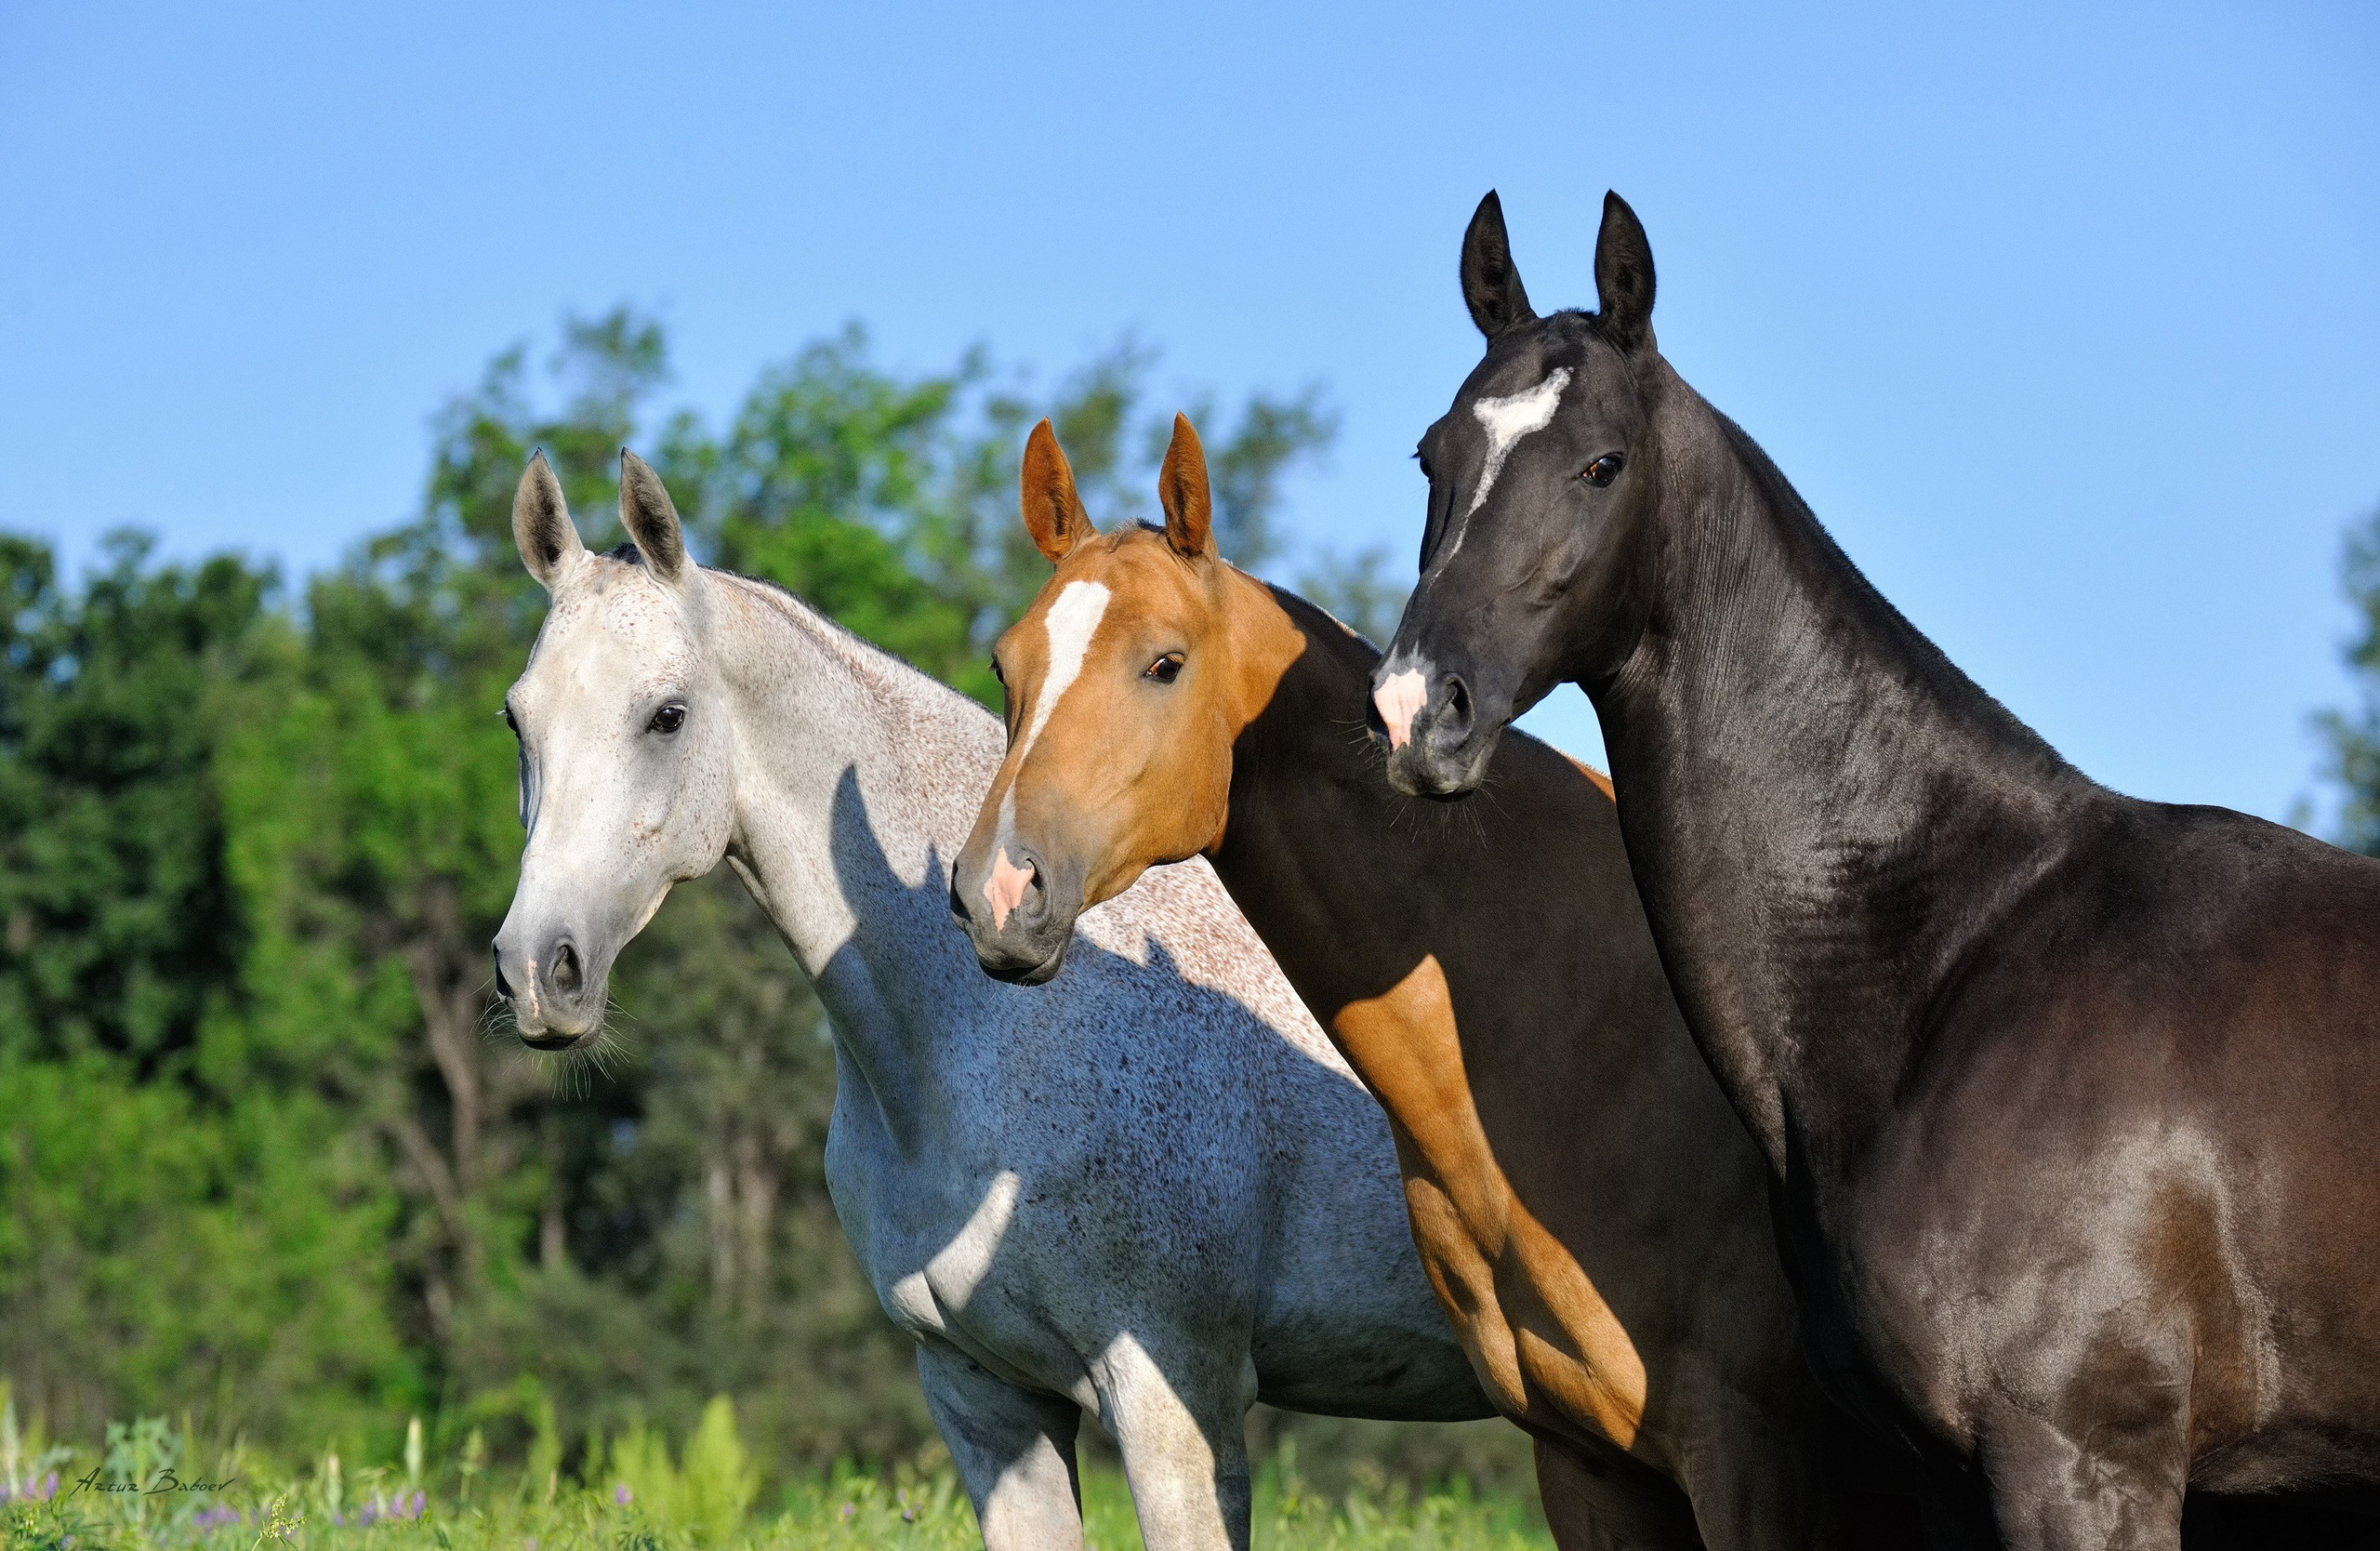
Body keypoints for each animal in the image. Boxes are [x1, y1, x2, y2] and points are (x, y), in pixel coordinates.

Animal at [488, 449, 1492, 1551]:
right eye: (516, 717)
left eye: (666, 715)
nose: (539, 970)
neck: (1000, 1039)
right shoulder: (984, 1398)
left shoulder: (1177, 1398)